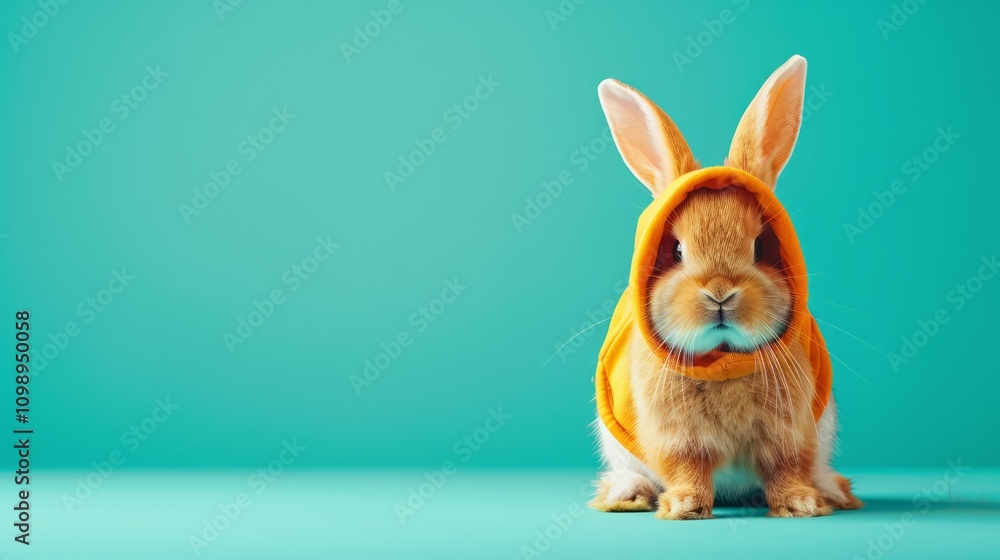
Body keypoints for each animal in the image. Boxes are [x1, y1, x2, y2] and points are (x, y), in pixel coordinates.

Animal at [588, 55, 863, 519]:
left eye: (761, 246)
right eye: (676, 249)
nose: (720, 293)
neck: (723, 358)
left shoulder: (788, 428)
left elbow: (785, 466)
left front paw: (802, 503)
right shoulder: (677, 434)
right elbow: (688, 466)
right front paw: (684, 507)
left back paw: (830, 491)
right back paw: (627, 494)